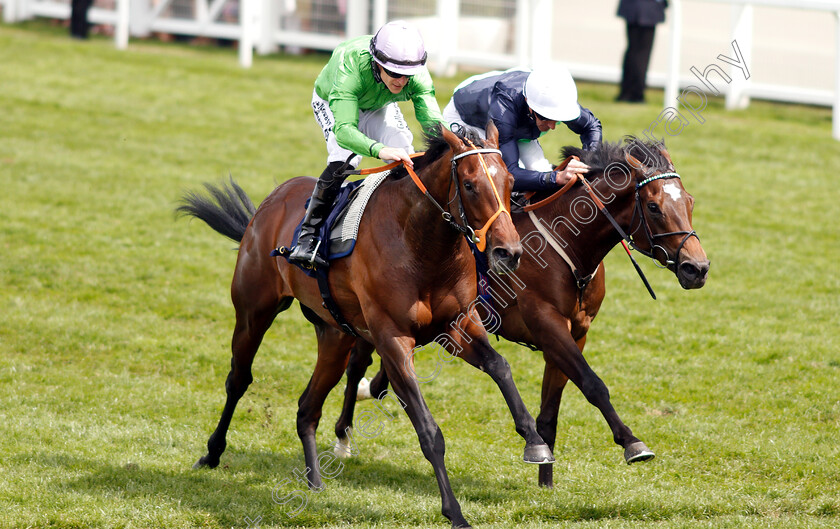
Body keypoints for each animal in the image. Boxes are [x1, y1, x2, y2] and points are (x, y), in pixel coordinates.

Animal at [176, 125, 556, 528]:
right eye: (469, 184)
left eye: (510, 181)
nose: (508, 252)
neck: (422, 244)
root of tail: (272, 199)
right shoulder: (393, 339)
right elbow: (428, 431)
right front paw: (455, 513)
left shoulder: (457, 324)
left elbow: (500, 366)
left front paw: (536, 443)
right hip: (253, 311)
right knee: (239, 379)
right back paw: (212, 453)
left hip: (335, 336)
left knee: (307, 407)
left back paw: (314, 481)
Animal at [328, 136, 708, 486]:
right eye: (655, 206)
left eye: (690, 201)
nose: (698, 268)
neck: (566, 242)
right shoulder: (546, 324)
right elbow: (593, 384)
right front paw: (632, 443)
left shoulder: (575, 333)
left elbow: (551, 411)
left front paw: (546, 480)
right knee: (357, 363)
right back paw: (343, 437)